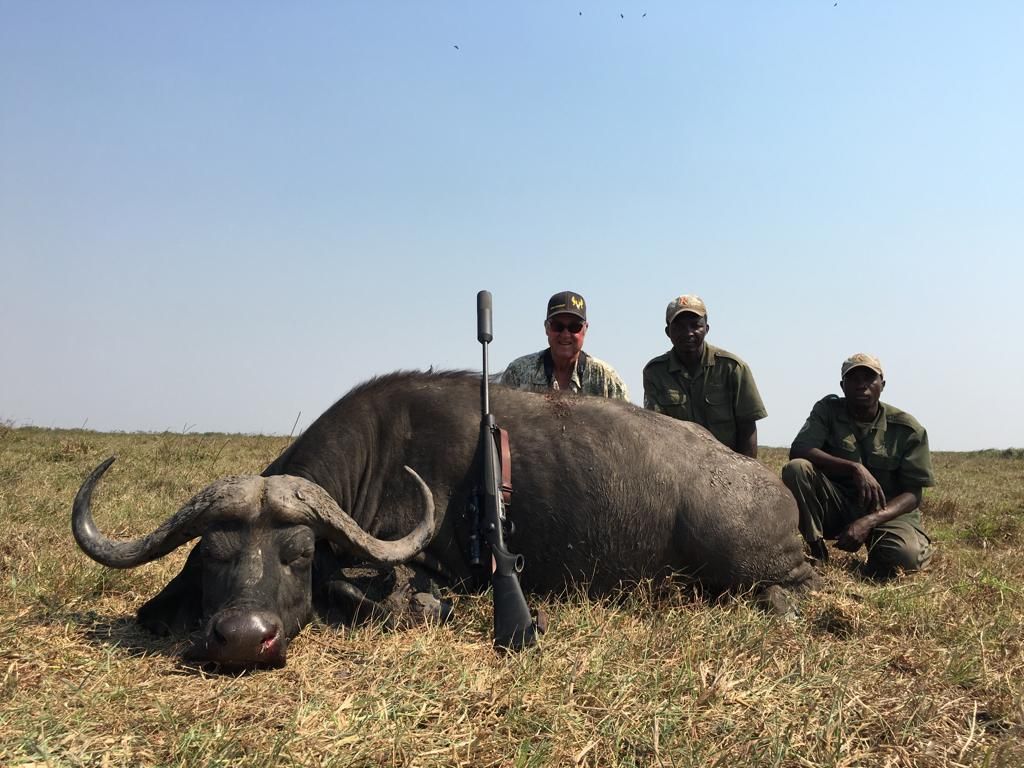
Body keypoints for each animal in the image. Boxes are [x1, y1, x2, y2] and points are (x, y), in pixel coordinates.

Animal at [72, 371, 816, 667]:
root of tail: (772, 486)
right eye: (213, 554)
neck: (381, 452)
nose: (243, 638)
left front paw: (421, 606)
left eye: (299, 554)